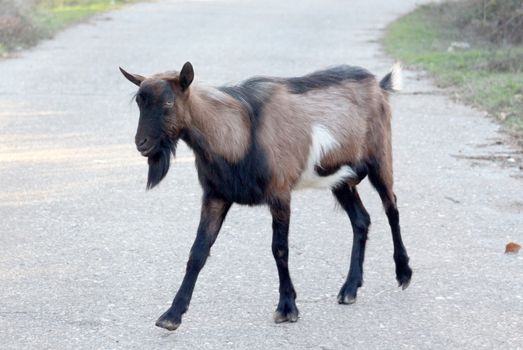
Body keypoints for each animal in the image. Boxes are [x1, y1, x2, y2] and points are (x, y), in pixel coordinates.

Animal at [119, 61, 414, 332]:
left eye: (168, 103)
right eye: (140, 102)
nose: (142, 144)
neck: (238, 135)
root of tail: (379, 86)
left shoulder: (280, 194)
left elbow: (279, 249)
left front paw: (287, 307)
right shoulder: (216, 196)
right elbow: (198, 251)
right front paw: (171, 315)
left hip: (379, 158)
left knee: (391, 206)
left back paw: (403, 273)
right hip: (340, 178)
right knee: (361, 220)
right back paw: (350, 288)